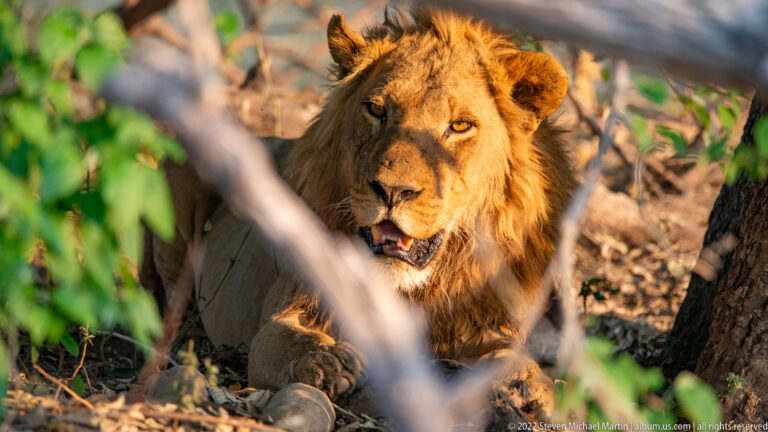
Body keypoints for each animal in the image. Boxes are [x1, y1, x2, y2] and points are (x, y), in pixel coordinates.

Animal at [143, 8, 573, 417]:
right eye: (376, 110)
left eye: (460, 126)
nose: (393, 191)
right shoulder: (290, 306)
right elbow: (285, 338)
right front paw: (327, 361)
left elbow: (518, 361)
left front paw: (524, 383)